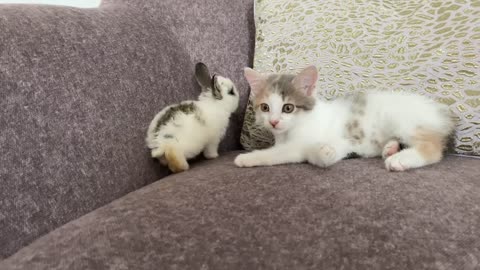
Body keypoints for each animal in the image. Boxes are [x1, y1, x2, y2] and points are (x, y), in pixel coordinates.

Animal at [235, 65, 454, 171]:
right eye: (265, 107)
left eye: (288, 108)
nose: (273, 121)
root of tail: (440, 110)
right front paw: (326, 154)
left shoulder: (300, 142)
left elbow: (280, 153)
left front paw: (248, 158)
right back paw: (390, 148)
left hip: (404, 120)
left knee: (432, 148)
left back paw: (400, 159)